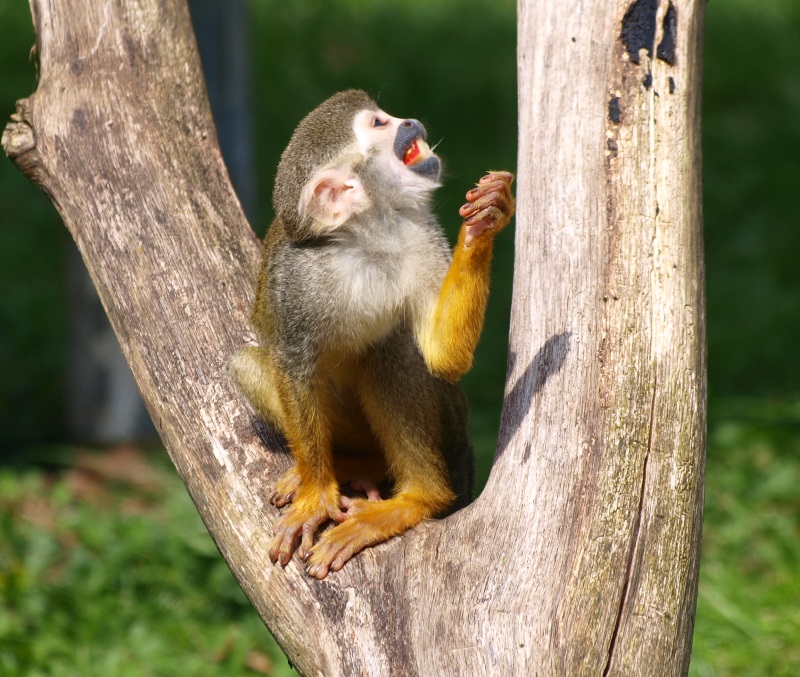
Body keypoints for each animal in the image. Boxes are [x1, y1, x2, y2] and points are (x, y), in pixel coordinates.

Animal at [229, 90, 514, 579]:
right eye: (381, 123)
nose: (410, 120)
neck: (368, 238)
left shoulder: (421, 236)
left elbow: (443, 357)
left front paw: (486, 218)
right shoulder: (294, 275)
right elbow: (292, 362)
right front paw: (315, 495)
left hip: (451, 420)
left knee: (393, 350)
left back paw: (417, 497)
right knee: (251, 363)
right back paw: (350, 466)